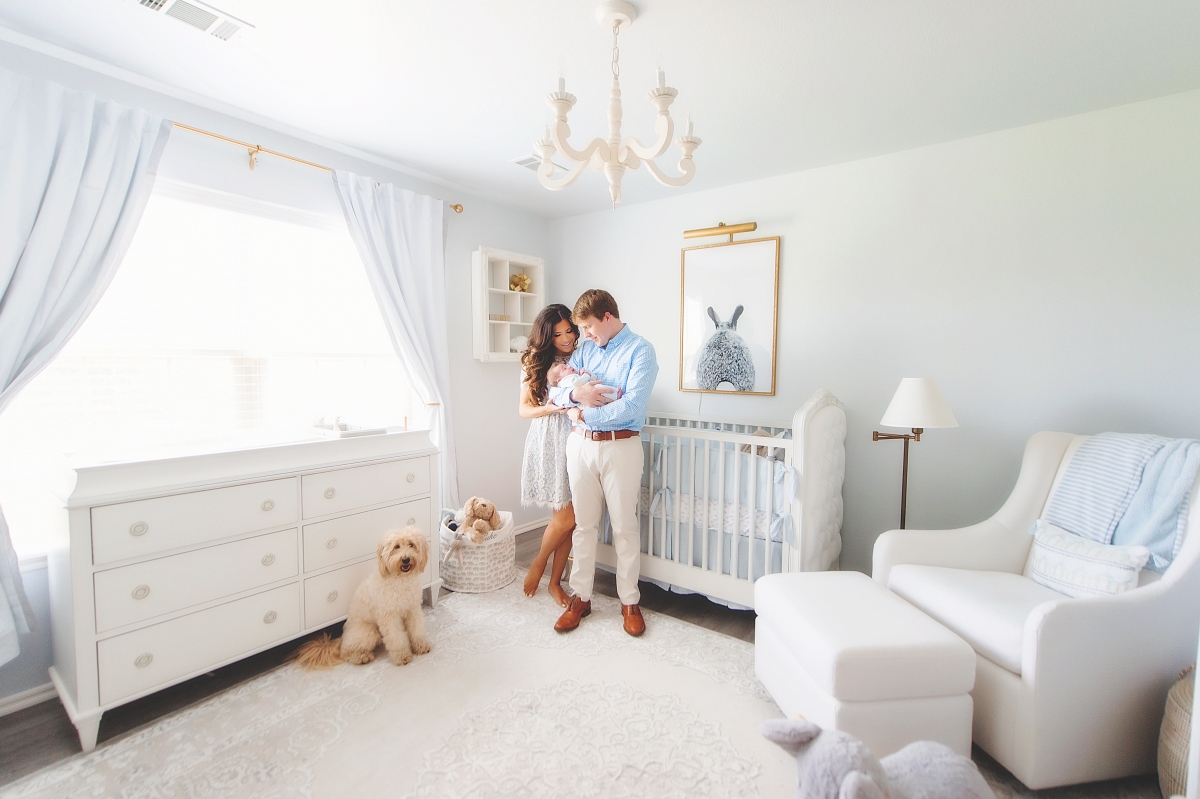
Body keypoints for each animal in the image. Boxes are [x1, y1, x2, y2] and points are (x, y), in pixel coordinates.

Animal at [291, 523, 432, 667]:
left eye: (411, 544)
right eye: (396, 547)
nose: (405, 559)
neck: (401, 580)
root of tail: (342, 638)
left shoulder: (413, 609)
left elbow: (417, 629)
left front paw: (421, 646)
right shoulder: (389, 616)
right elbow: (396, 637)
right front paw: (401, 656)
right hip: (369, 631)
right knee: (346, 652)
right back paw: (362, 657)